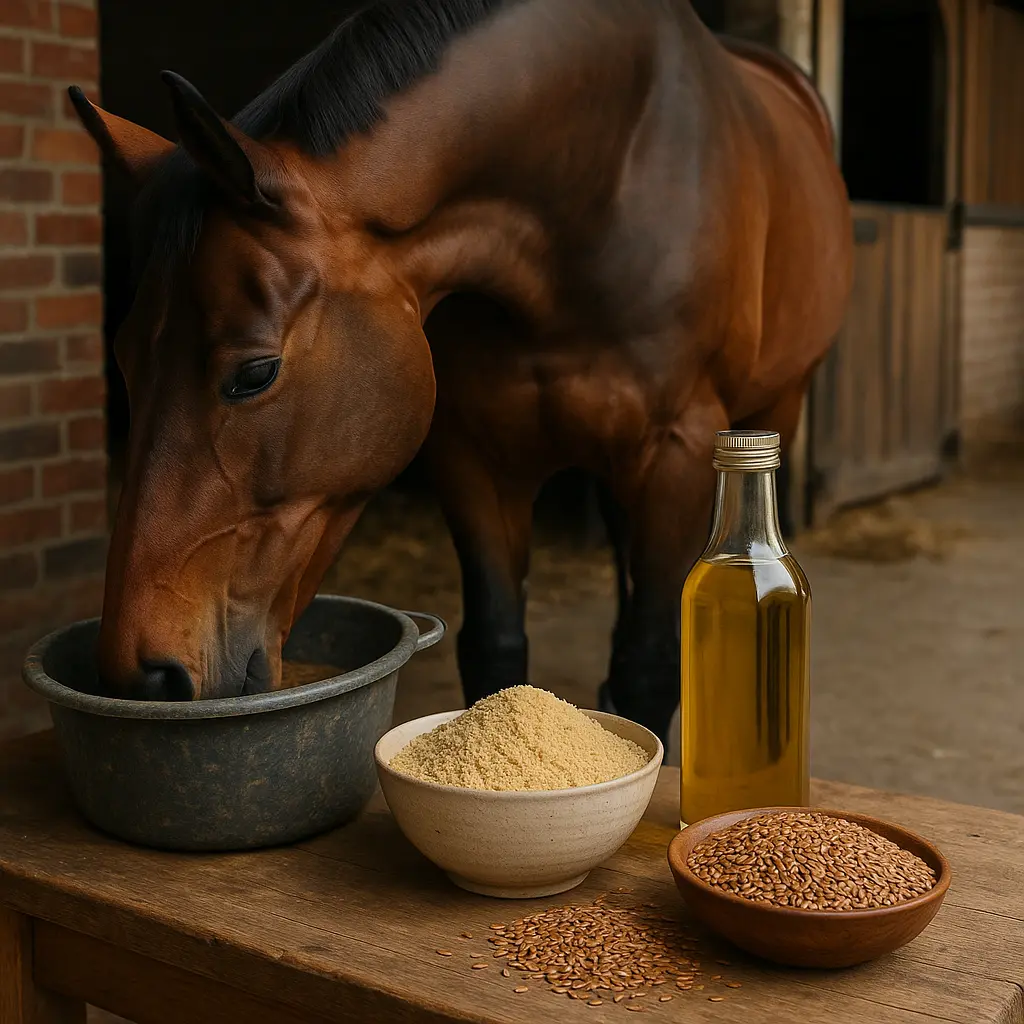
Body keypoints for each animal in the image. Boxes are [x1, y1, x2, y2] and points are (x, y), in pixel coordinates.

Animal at [73, 0, 852, 744]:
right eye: (124, 360)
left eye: (255, 372)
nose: (143, 675)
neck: (599, 186)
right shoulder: (474, 454)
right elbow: (495, 648)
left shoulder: (675, 451)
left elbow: (651, 664)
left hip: (775, 407)